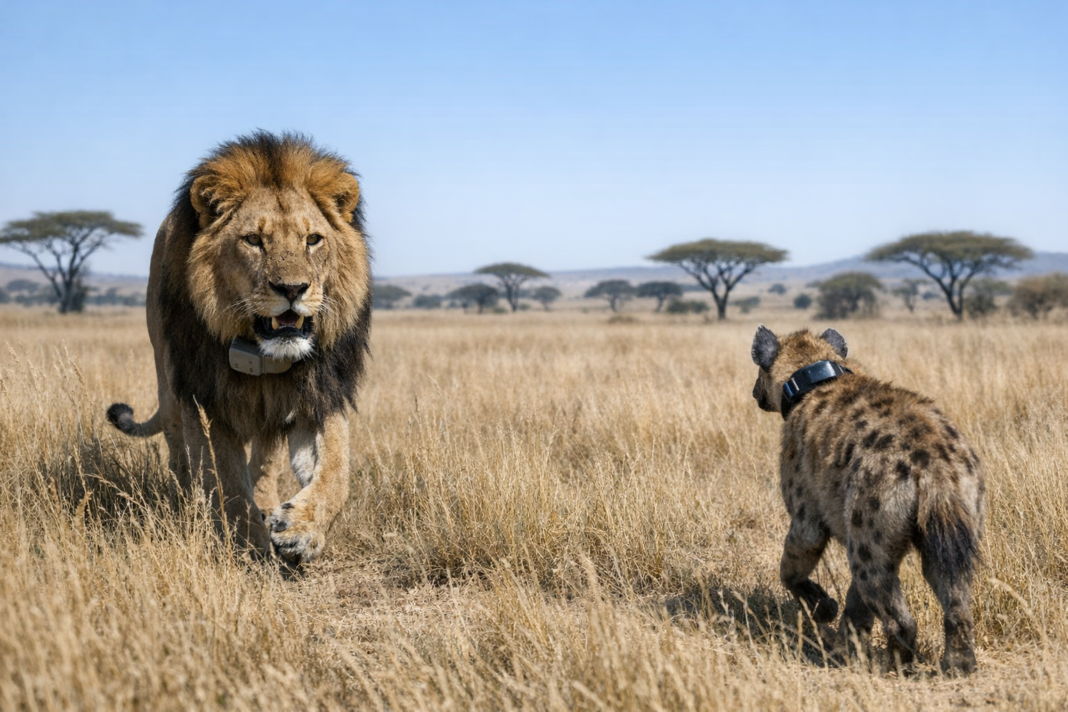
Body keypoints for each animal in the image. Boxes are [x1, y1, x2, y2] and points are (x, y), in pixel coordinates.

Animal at [106, 131, 371, 564]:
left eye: (313, 240)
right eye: (253, 240)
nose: (293, 289)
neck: (262, 354)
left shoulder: (318, 394)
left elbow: (337, 469)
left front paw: (302, 529)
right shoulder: (203, 398)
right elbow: (226, 482)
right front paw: (247, 546)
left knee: (264, 462)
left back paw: (267, 507)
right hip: (169, 386)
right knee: (180, 457)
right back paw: (190, 505)